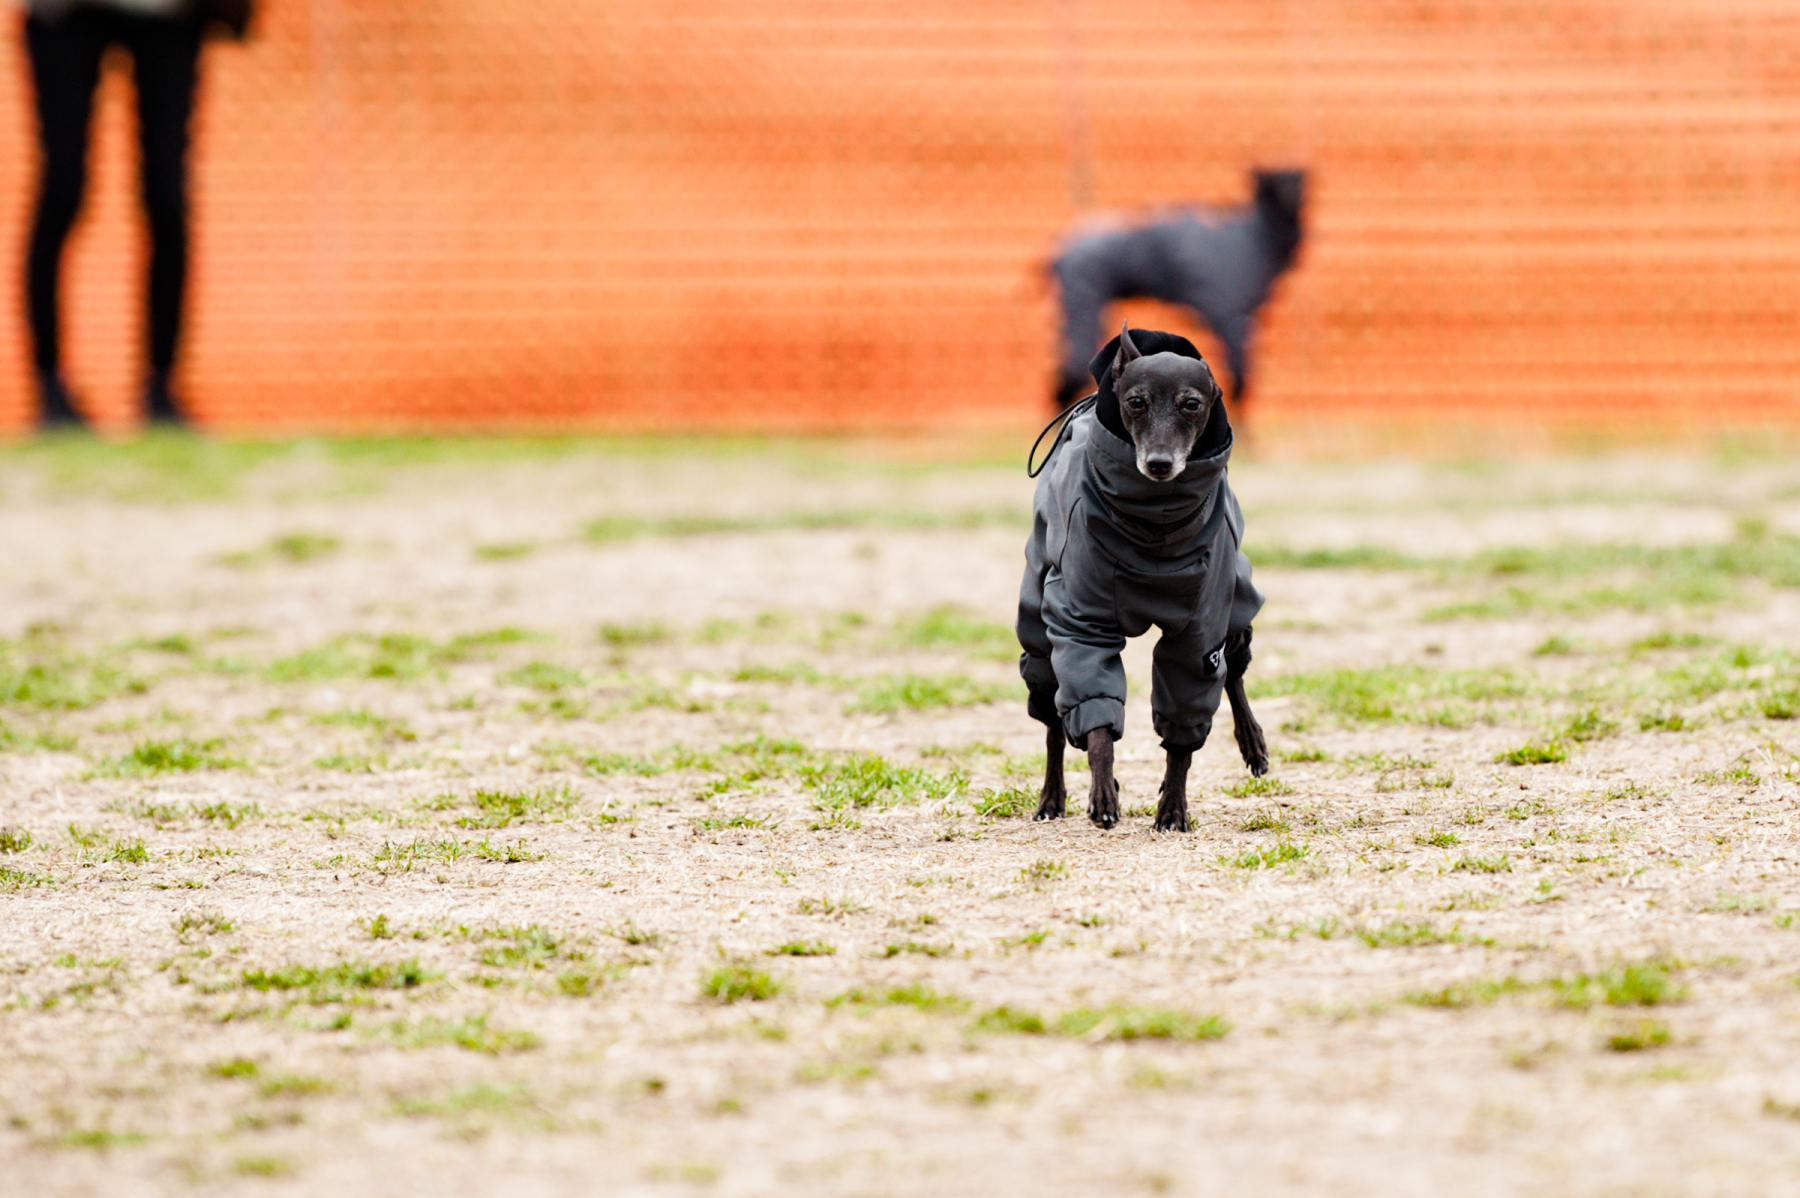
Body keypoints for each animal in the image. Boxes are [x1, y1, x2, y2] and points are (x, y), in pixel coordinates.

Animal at [1018, 322, 1268, 833]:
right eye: (1135, 401)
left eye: (1191, 404)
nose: (1158, 463)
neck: (1153, 530)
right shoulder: (1082, 623)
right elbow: (1095, 725)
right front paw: (1102, 791)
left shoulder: (1199, 634)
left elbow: (1184, 728)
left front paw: (1173, 806)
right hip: (1038, 628)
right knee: (1053, 717)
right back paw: (1052, 797)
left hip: (1237, 606)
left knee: (1233, 675)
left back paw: (1252, 742)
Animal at [1049, 168, 1306, 410]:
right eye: (1273, 184)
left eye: (1297, 180)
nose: (1291, 197)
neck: (1254, 236)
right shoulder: (1231, 318)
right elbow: (1239, 379)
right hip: (1084, 306)